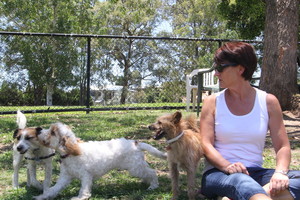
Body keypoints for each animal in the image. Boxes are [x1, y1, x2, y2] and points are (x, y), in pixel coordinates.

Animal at [34, 122, 168, 200]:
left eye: (52, 132)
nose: (39, 130)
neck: (71, 152)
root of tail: (136, 143)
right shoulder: (65, 177)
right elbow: (54, 189)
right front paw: (43, 196)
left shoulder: (86, 176)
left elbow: (84, 189)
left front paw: (80, 197)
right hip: (137, 167)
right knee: (147, 173)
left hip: (135, 168)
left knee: (152, 172)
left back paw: (153, 186)